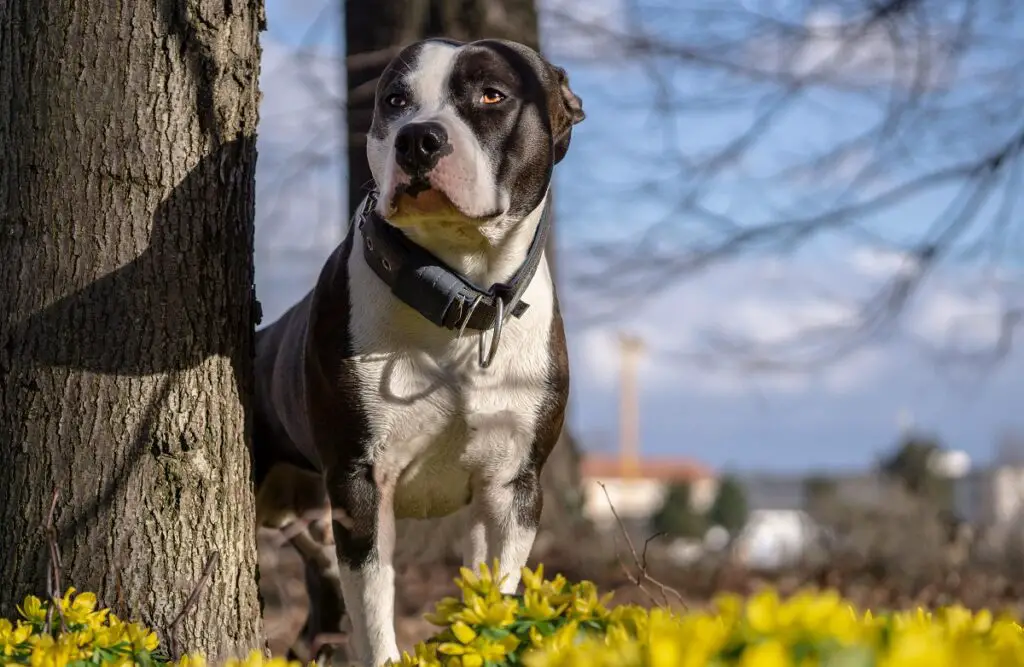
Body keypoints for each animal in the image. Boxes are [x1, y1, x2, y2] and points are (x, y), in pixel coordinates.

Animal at [250, 37, 585, 667]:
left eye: (492, 95)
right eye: (394, 101)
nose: (418, 138)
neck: (458, 298)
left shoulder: (511, 488)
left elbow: (494, 591)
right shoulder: (361, 484)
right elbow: (376, 611)